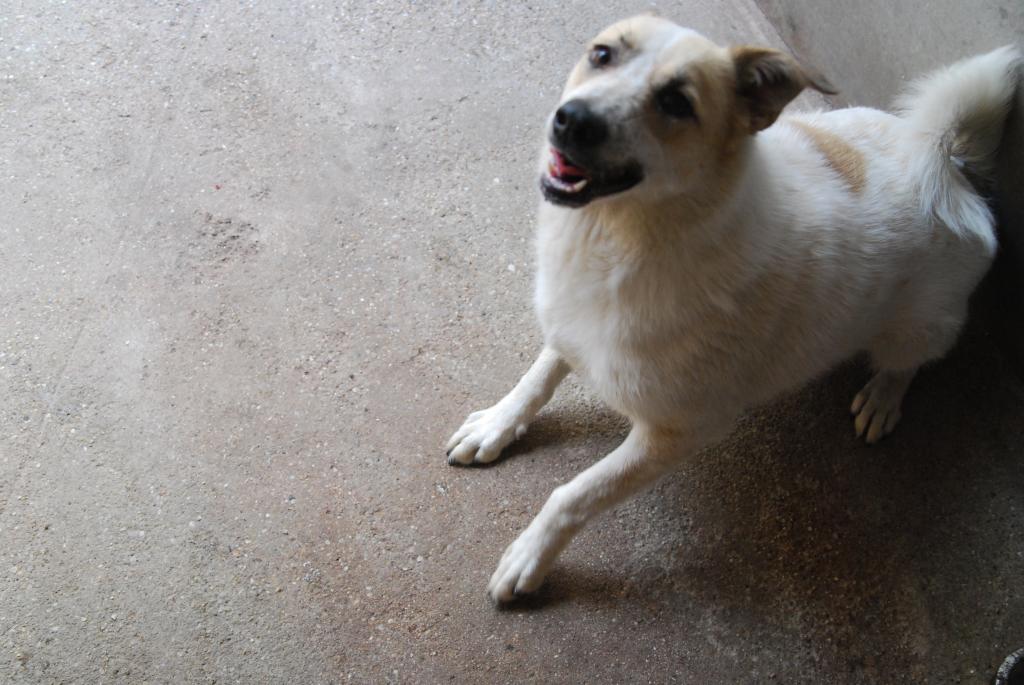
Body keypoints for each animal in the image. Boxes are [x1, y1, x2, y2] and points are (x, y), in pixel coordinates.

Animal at [444, 14, 1019, 602]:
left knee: (909, 363)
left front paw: (530, 557)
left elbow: (575, 493)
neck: (624, 239)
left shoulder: (678, 431)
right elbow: (539, 376)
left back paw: (883, 395)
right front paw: (498, 423)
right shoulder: (572, 324)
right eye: (602, 54)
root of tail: (945, 160)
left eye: (676, 102)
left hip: (917, 327)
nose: (572, 120)